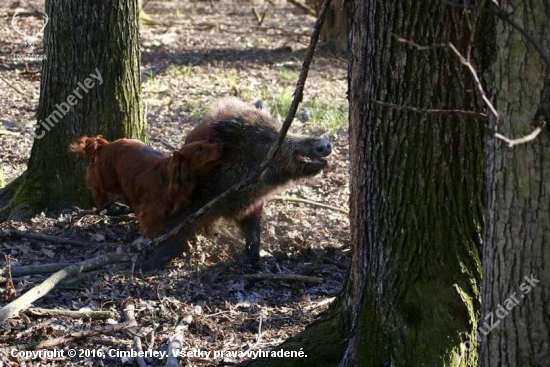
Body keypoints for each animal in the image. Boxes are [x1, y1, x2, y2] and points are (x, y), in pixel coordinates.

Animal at [70, 137, 222, 237]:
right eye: (199, 149)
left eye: (207, 142)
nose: (221, 144)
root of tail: (107, 145)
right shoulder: (151, 211)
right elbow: (152, 227)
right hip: (108, 179)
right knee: (93, 176)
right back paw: (100, 200)